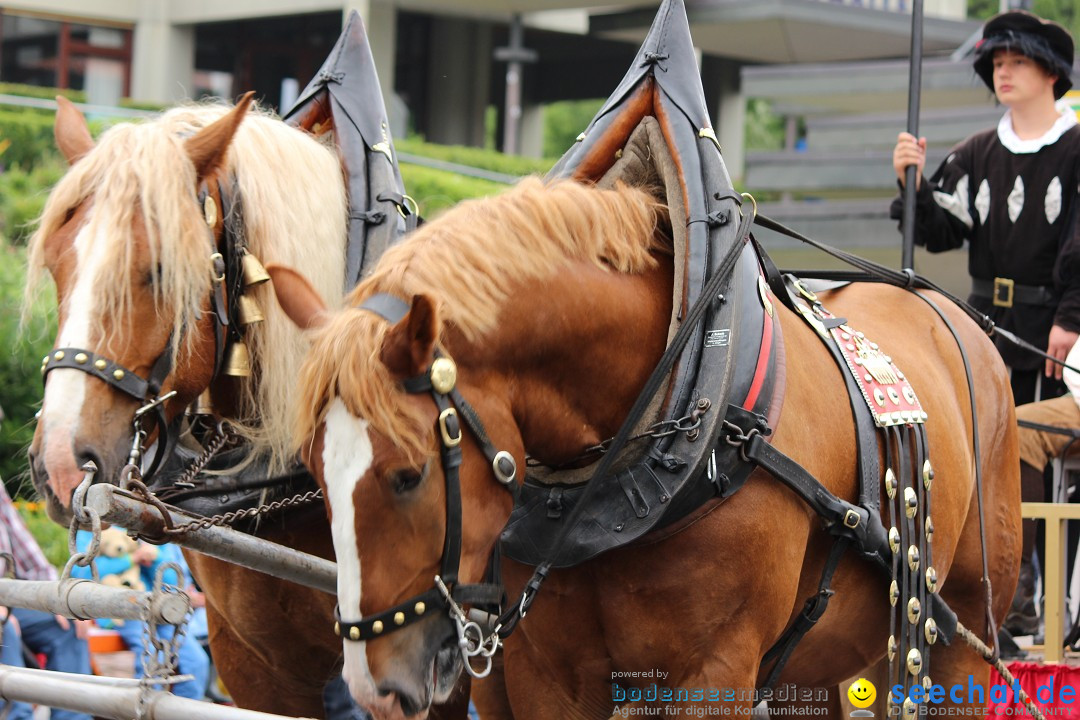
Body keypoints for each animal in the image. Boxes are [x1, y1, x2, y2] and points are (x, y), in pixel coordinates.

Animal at [270, 175, 1019, 720]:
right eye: (316, 478)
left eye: (408, 476)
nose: (373, 688)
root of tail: (956, 318)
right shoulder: (553, 678)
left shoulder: (713, 675)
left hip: (961, 630)